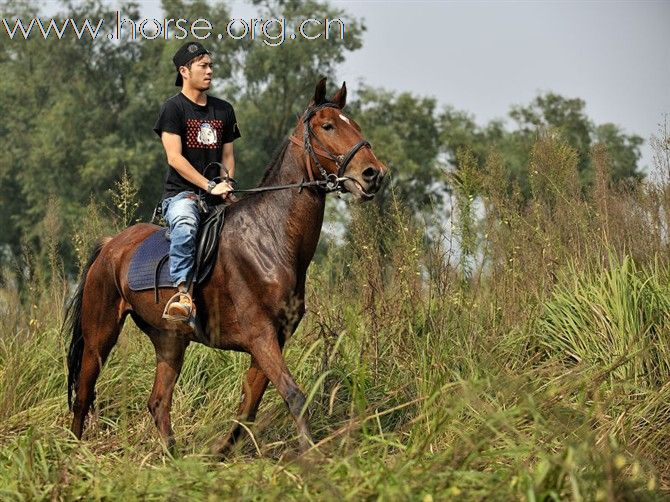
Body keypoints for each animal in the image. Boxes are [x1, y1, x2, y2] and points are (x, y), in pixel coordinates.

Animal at [64, 79, 388, 454]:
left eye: (356, 125)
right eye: (328, 126)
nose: (373, 174)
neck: (271, 237)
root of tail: (110, 246)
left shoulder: (275, 338)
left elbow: (249, 405)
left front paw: (220, 454)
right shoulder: (261, 335)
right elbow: (293, 396)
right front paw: (312, 455)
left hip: (170, 341)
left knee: (158, 402)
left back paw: (174, 457)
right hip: (100, 334)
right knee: (83, 394)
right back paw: (73, 454)